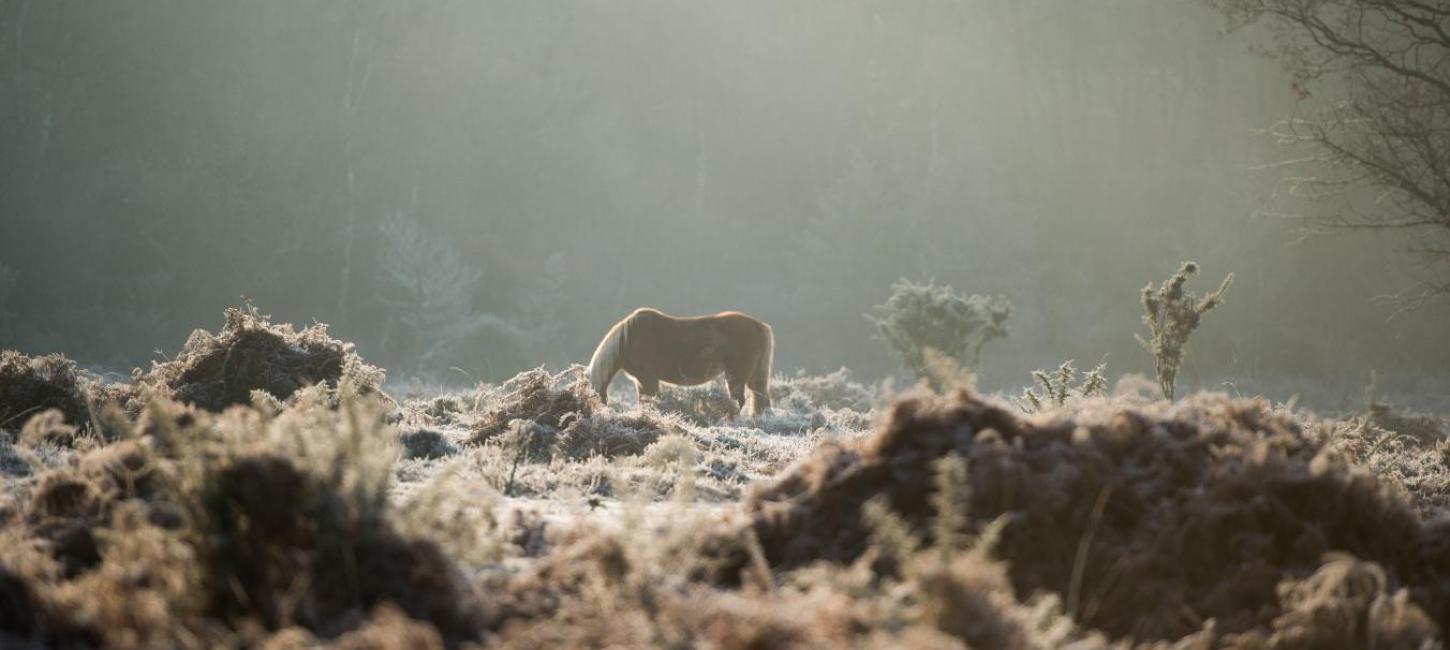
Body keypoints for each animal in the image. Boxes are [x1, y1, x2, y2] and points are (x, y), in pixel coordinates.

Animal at [585, 307, 777, 414]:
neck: (627, 339)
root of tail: (761, 326)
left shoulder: (648, 378)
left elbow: (652, 400)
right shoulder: (640, 381)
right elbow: (644, 401)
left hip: (736, 376)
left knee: (739, 400)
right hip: (753, 376)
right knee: (760, 399)